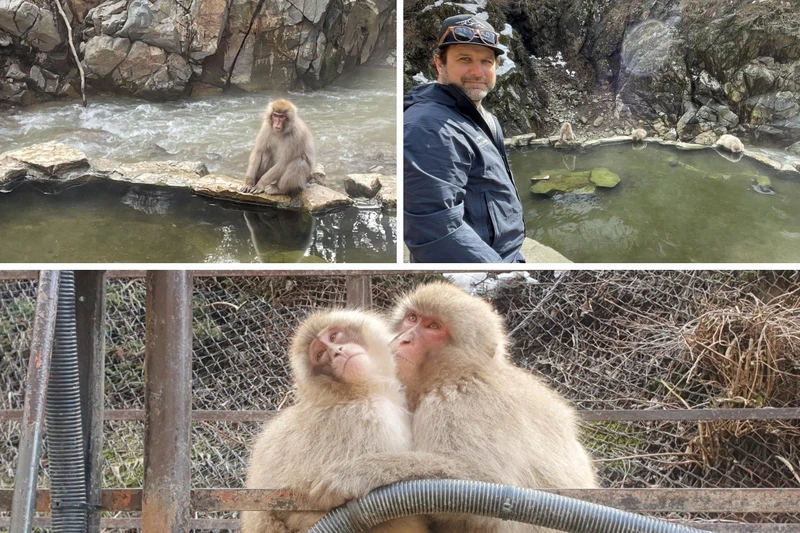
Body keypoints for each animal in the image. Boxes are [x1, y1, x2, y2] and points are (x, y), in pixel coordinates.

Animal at [309, 282, 598, 533]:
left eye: (433, 326)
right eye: (412, 318)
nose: (404, 339)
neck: (457, 375)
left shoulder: (460, 402)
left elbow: (488, 482)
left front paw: (360, 472)